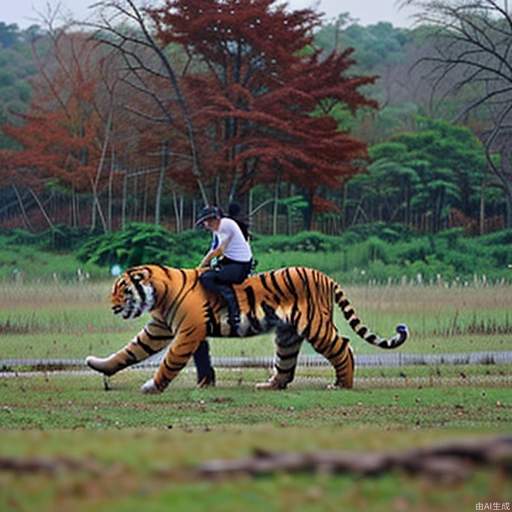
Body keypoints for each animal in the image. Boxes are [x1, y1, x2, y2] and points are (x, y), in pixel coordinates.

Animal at [87, 264, 408, 392]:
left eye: (122, 289)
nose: (112, 306)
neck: (161, 293)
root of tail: (325, 276)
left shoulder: (187, 331)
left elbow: (170, 360)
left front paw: (152, 387)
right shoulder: (159, 328)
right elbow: (130, 351)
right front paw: (98, 365)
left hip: (316, 325)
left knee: (343, 347)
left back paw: (342, 384)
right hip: (287, 334)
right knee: (286, 363)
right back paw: (270, 385)